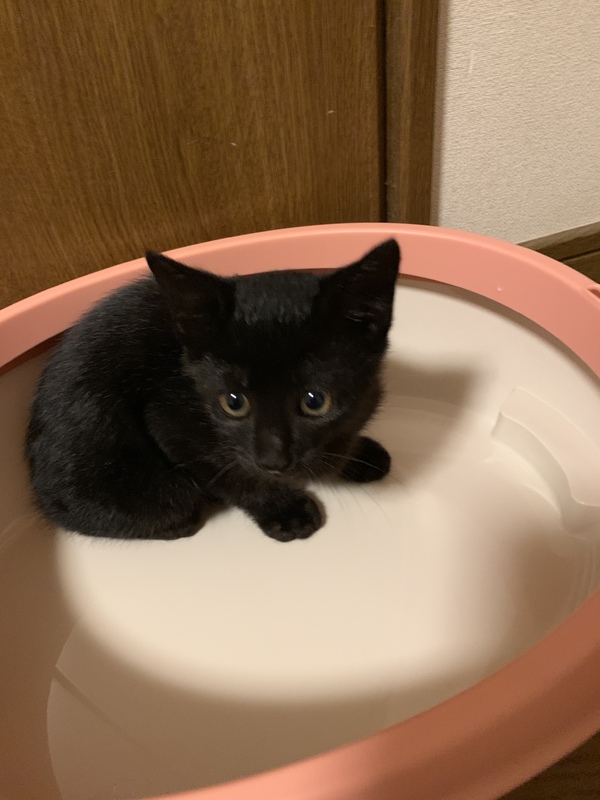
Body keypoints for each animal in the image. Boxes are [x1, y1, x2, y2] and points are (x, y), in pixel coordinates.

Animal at [25, 238, 400, 542]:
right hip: (150, 488)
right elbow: (231, 472)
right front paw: (285, 509)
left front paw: (358, 454)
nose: (273, 461)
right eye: (233, 403)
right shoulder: (168, 421)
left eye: (315, 401)